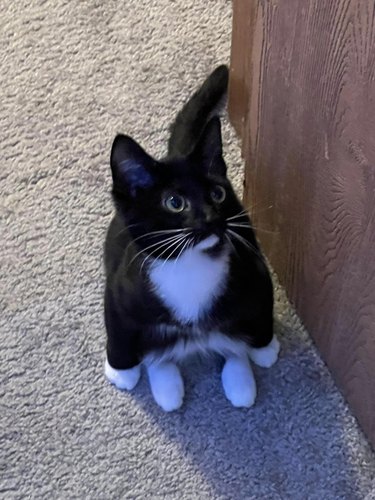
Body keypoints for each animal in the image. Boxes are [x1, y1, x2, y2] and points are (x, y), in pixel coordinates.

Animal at [104, 65, 280, 410]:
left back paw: (239, 380)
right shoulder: (119, 289)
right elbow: (119, 332)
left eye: (218, 193)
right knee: (160, 350)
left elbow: (258, 315)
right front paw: (121, 371)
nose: (212, 219)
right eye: (175, 202)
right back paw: (167, 387)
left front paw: (265, 349)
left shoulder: (253, 272)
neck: (189, 265)